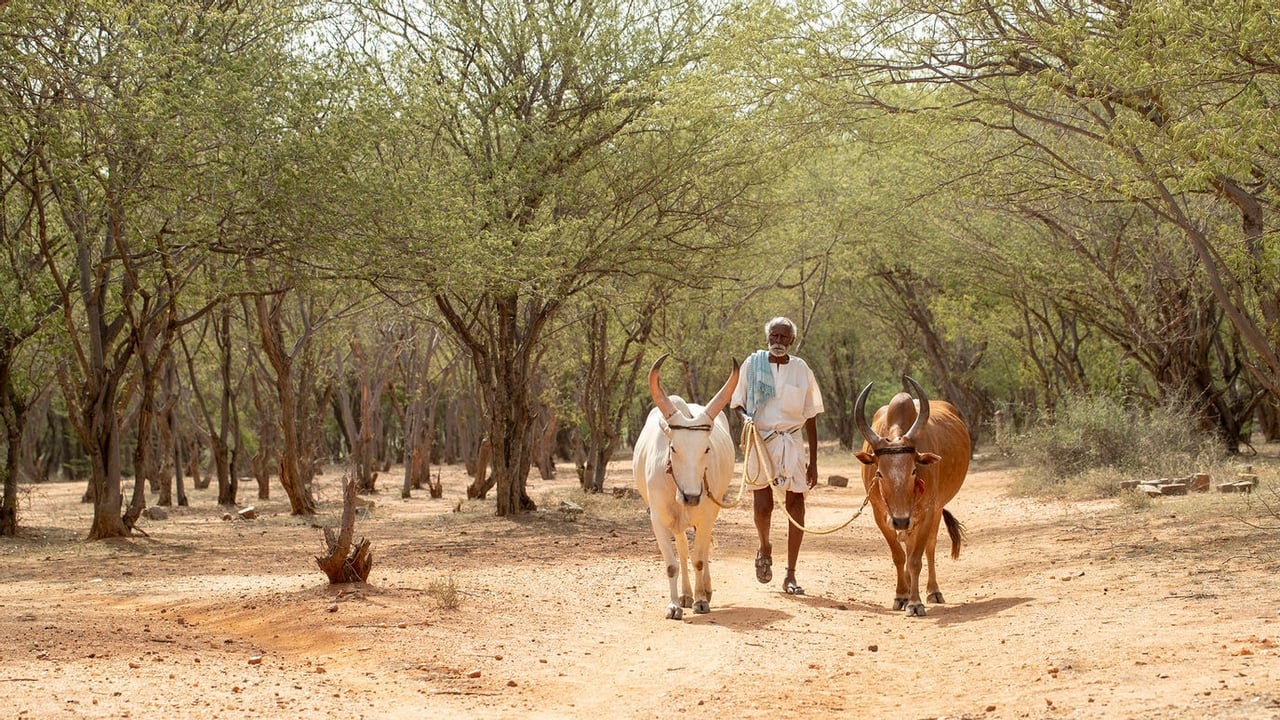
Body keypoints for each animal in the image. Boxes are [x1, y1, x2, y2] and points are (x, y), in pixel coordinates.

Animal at [632, 353, 742, 617]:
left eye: (707, 449)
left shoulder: (706, 514)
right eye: (673, 448)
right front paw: (674, 605)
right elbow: (672, 564)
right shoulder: (658, 519)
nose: (691, 497)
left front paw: (701, 600)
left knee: (702, 550)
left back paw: (705, 590)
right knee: (682, 550)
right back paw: (685, 594)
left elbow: (699, 559)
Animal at [849, 371, 967, 614]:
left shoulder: (927, 512)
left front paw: (915, 602)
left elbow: (915, 559)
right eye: (879, 473)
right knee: (907, 545)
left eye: (914, 470)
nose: (901, 520)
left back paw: (933, 591)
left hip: (934, 512)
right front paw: (902, 596)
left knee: (928, 548)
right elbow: (898, 555)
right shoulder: (881, 515)